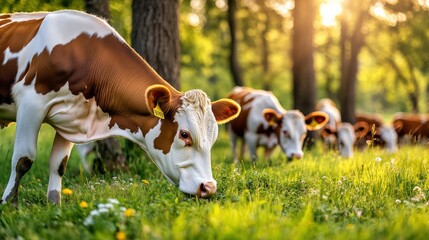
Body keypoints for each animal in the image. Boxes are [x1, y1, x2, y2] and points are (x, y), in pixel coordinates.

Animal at [0, 10, 241, 204]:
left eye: (214, 137)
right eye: (184, 134)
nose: (208, 188)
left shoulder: (70, 118)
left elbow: (59, 165)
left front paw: (54, 206)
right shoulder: (31, 102)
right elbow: (23, 159)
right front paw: (10, 203)